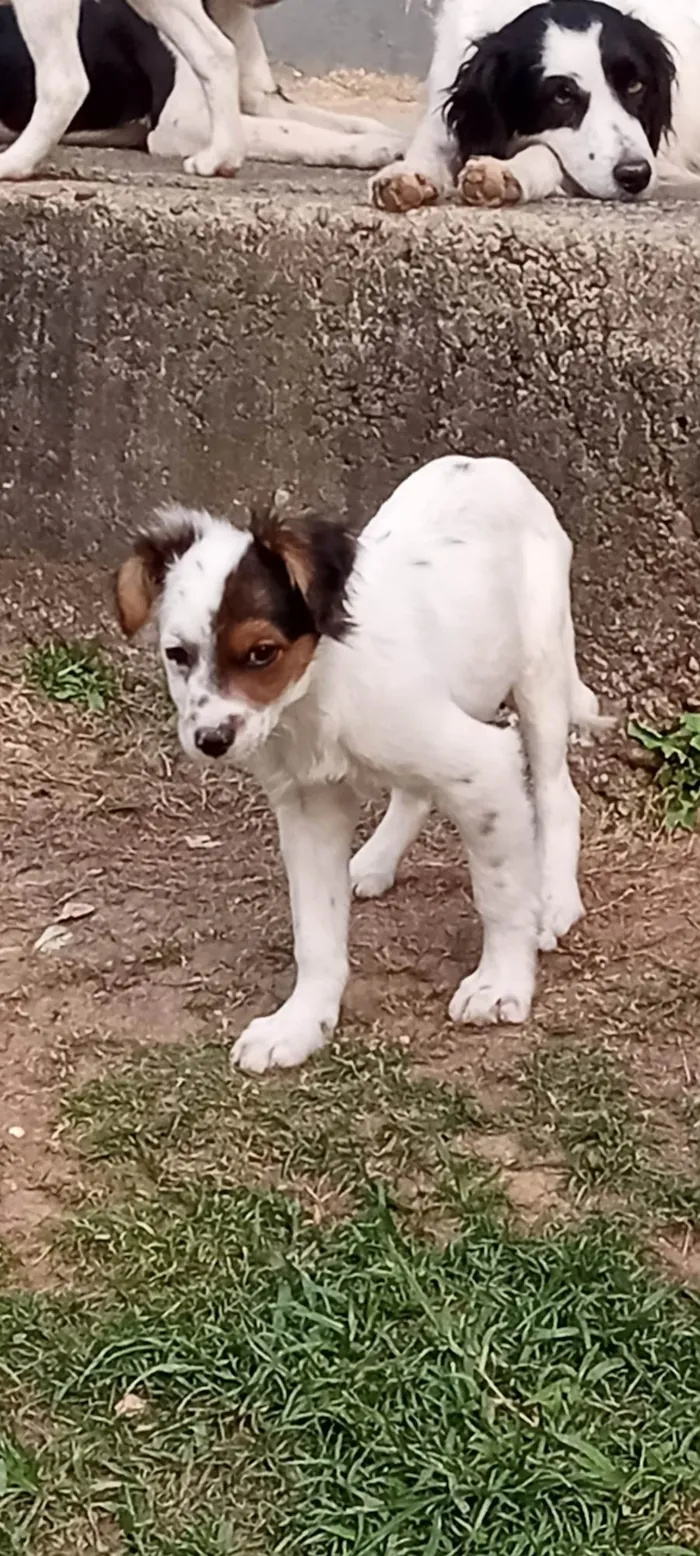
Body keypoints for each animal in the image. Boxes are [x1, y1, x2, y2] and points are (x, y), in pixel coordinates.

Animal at [0, 0, 404, 178]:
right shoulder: (178, 125)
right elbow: (296, 133)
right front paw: (375, 149)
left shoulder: (263, 101)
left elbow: (346, 121)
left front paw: (388, 138)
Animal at [115, 454, 606, 1076]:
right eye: (177, 655)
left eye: (261, 653)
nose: (210, 740)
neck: (316, 692)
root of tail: (484, 462)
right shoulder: (308, 807)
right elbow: (316, 933)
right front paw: (302, 1023)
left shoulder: (484, 765)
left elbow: (499, 893)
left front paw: (499, 984)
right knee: (415, 793)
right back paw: (374, 861)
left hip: (539, 675)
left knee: (556, 793)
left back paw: (556, 901)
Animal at [368, 0, 696, 213]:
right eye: (562, 97)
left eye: (635, 85)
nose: (635, 175)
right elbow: (429, 148)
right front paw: (409, 173)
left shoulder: (664, 160)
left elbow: (545, 152)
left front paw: (506, 172)